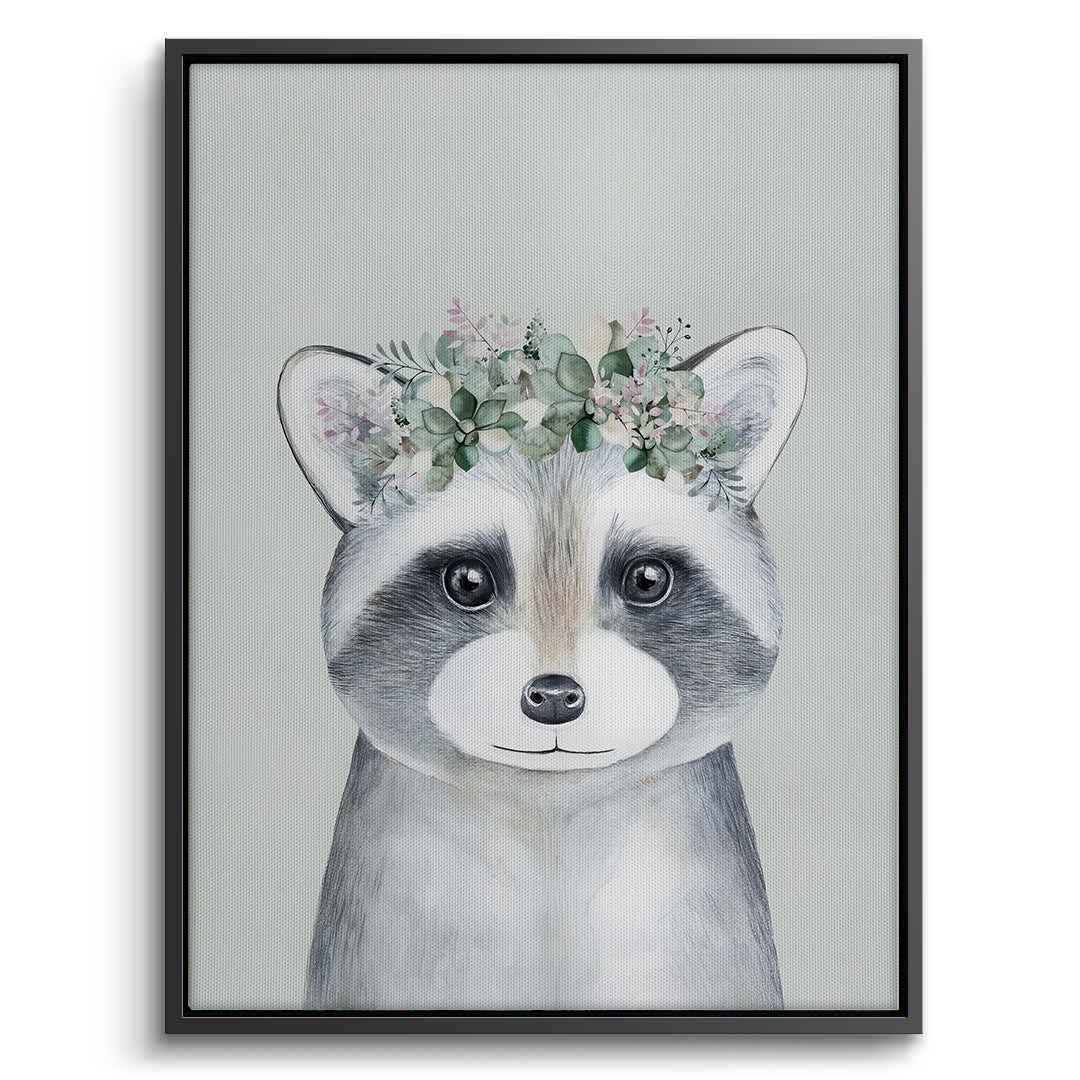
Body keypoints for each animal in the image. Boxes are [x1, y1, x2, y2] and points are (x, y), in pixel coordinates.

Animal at [278, 325, 807, 1010]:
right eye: (468, 581)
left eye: (647, 579)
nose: (555, 696)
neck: (549, 810)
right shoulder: (382, 935)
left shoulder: (699, 936)